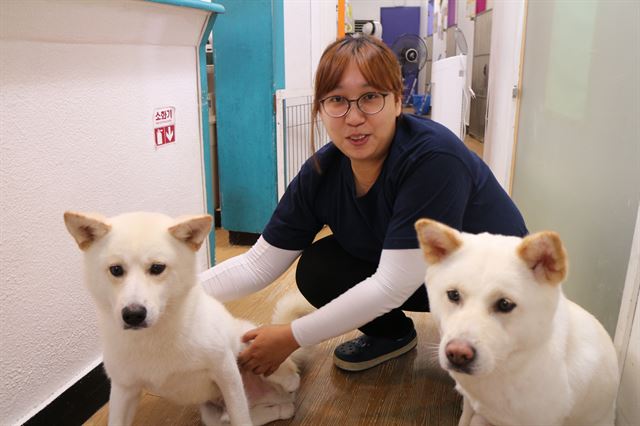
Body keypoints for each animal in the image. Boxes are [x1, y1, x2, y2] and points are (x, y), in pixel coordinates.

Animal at [65, 211, 300, 424]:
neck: (153, 339)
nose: (133, 315)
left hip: (257, 356)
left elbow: (241, 419)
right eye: (116, 269)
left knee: (291, 385)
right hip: (211, 414)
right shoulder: (124, 390)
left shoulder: (226, 372)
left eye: (157, 268)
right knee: (275, 410)